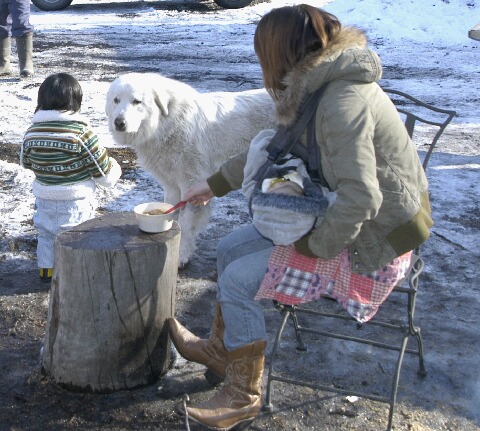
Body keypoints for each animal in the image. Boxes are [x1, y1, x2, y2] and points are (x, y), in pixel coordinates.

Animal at [106, 73, 276, 268]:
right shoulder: (171, 185)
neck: (166, 124)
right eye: (116, 100)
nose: (119, 123)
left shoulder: (191, 183)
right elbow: (172, 212)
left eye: (136, 101)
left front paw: (181, 255)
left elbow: (186, 224)